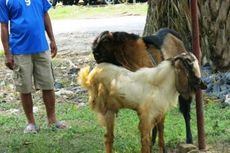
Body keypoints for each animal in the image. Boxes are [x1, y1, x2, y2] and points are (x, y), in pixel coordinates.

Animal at [78, 52, 206, 153]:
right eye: (189, 64)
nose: (202, 84)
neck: (159, 85)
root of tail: (91, 76)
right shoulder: (146, 116)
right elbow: (146, 142)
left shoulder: (161, 114)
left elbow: (160, 139)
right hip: (108, 109)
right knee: (108, 137)